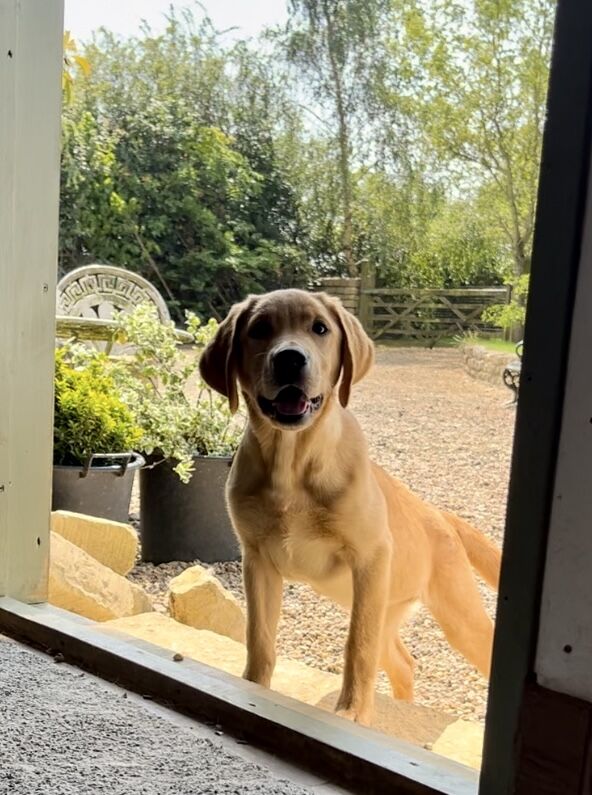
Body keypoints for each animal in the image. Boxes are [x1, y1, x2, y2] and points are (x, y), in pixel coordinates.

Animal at [199, 290, 500, 724]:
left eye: (320, 328)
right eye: (259, 330)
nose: (289, 359)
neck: (292, 465)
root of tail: (439, 514)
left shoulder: (370, 557)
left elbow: (358, 644)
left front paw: (353, 712)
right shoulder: (257, 561)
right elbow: (260, 637)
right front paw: (253, 689)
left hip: (455, 616)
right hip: (386, 605)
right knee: (403, 662)